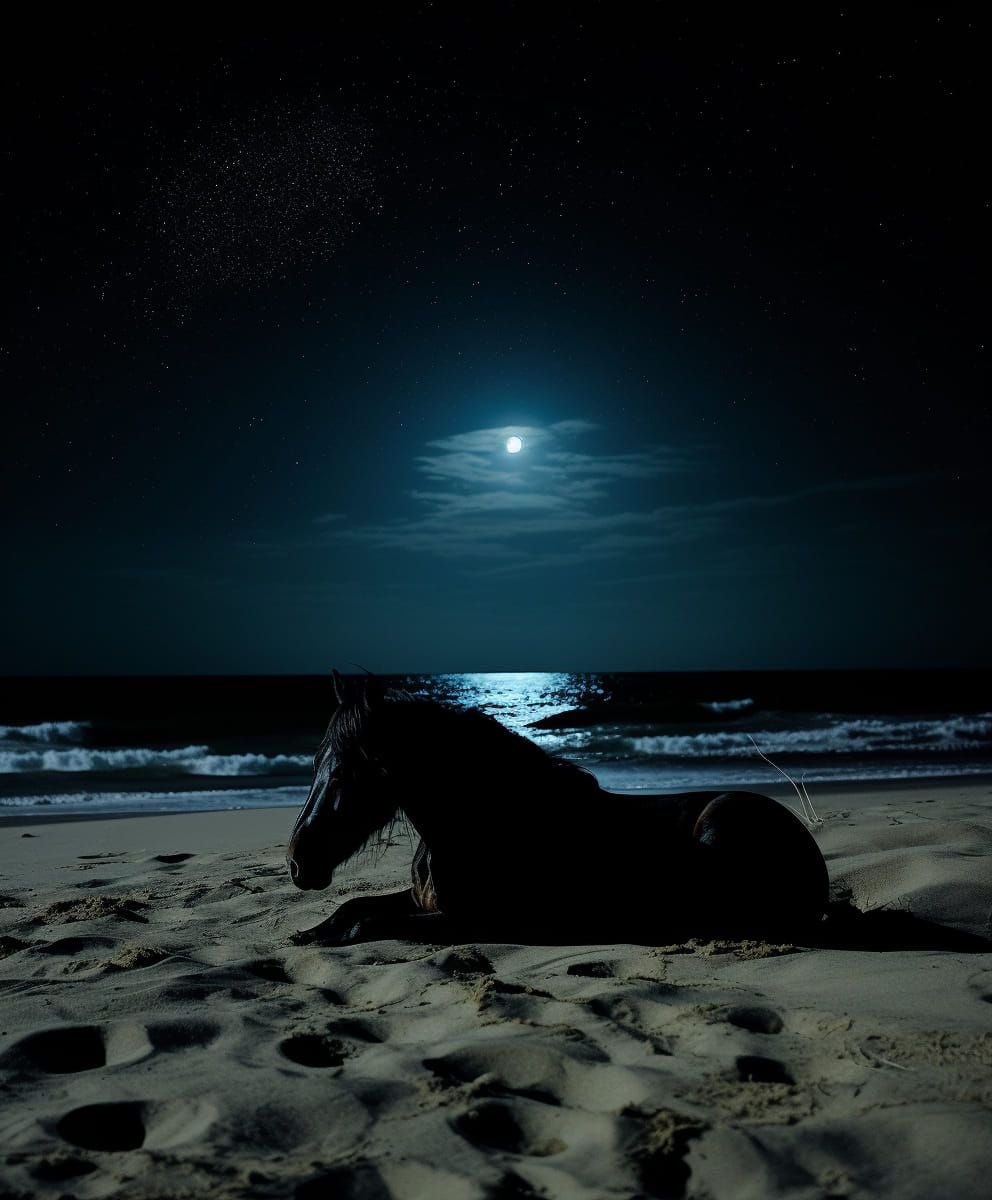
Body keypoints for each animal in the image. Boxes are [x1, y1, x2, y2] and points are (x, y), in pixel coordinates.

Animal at [286, 674, 830, 946]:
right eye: (314, 762)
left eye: (346, 771)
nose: (297, 863)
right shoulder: (423, 902)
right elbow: (355, 908)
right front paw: (308, 933)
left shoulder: (471, 921)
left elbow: (367, 923)